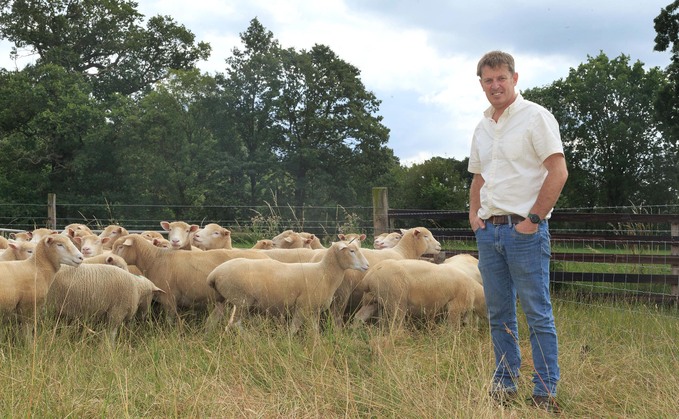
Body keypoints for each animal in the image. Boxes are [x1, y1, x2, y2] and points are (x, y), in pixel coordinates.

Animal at [206, 243, 370, 334]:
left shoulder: (313, 311)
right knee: (234, 324)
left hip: (225, 301)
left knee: (217, 321)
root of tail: (214, 274)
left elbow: (314, 331)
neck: (324, 273)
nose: (367, 266)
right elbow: (294, 328)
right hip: (242, 300)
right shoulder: (302, 307)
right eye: (351, 251)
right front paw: (290, 342)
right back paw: (250, 339)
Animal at [350, 260, 488, 332]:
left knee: (359, 317)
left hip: (372, 300)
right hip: (395, 299)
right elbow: (453, 325)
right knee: (396, 322)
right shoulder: (456, 306)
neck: (474, 291)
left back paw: (355, 333)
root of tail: (368, 277)